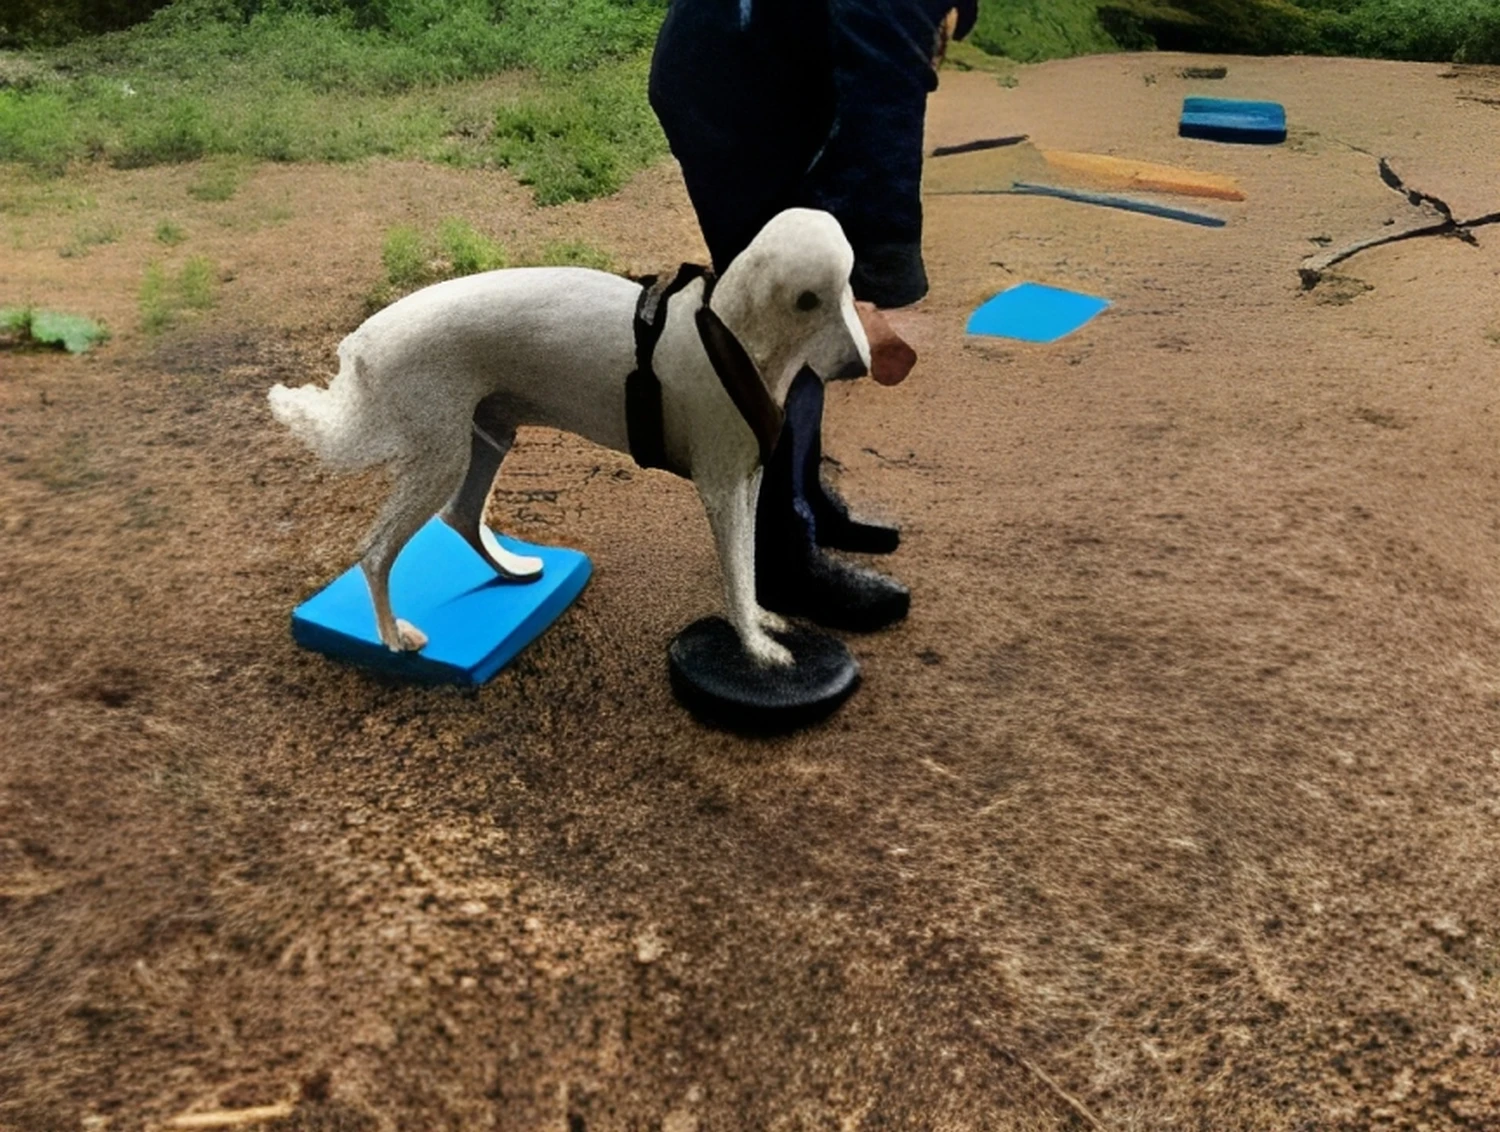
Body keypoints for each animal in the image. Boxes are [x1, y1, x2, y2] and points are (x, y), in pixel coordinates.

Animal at [270, 208, 870, 668]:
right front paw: (757, 648)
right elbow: (737, 577)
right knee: (375, 551)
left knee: (460, 516)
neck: (730, 333)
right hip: (440, 456)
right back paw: (394, 636)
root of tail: (363, 341)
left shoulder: (748, 481)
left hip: (488, 438)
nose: (861, 365)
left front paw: (763, 625)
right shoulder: (721, 491)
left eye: (847, 287)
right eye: (808, 299)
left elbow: (748, 569)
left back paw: (511, 570)